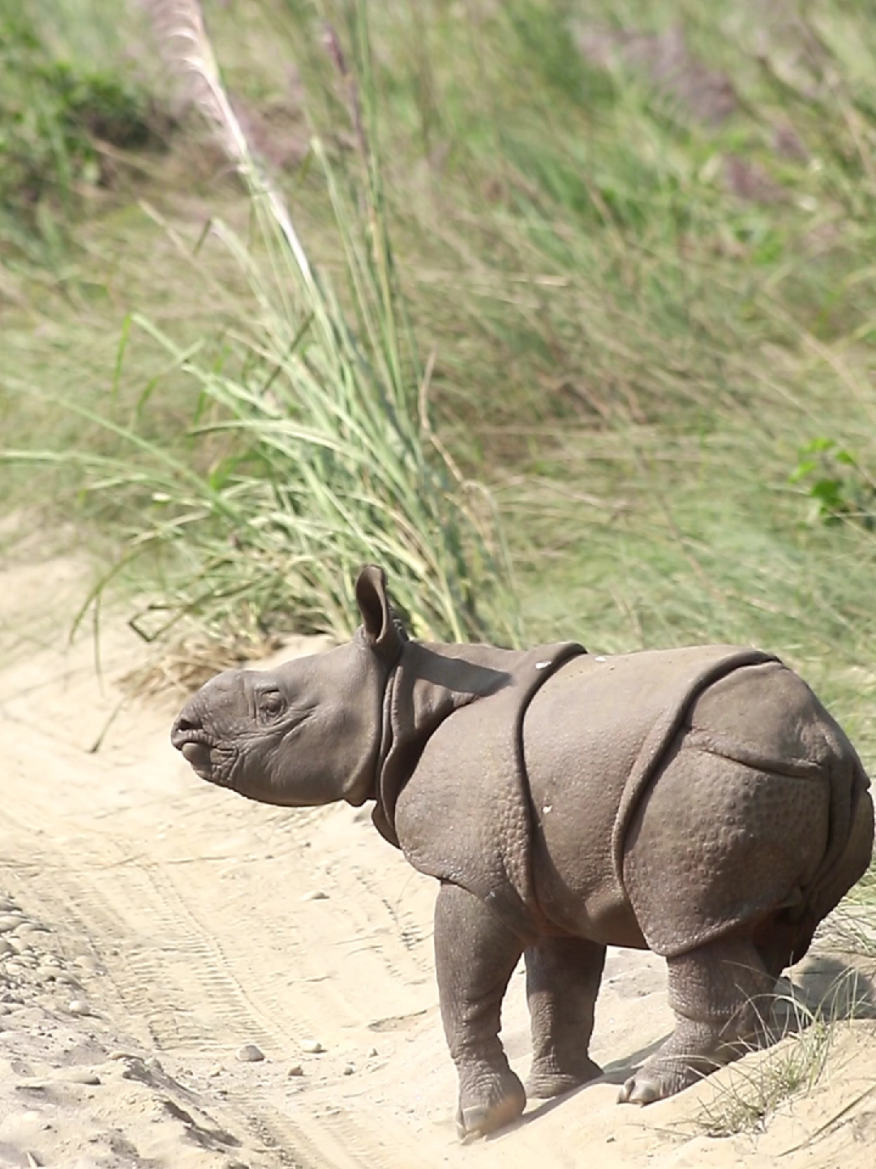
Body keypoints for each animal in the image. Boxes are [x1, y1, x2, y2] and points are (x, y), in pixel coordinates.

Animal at [173, 570, 874, 1136]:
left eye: (272, 703)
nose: (182, 727)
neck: (399, 695)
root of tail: (825, 744)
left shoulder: (472, 870)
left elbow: (464, 981)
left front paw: (483, 1120)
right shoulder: (553, 867)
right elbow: (559, 985)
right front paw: (556, 1089)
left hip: (711, 777)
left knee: (687, 919)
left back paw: (647, 1090)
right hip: (759, 777)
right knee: (751, 926)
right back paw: (764, 1040)